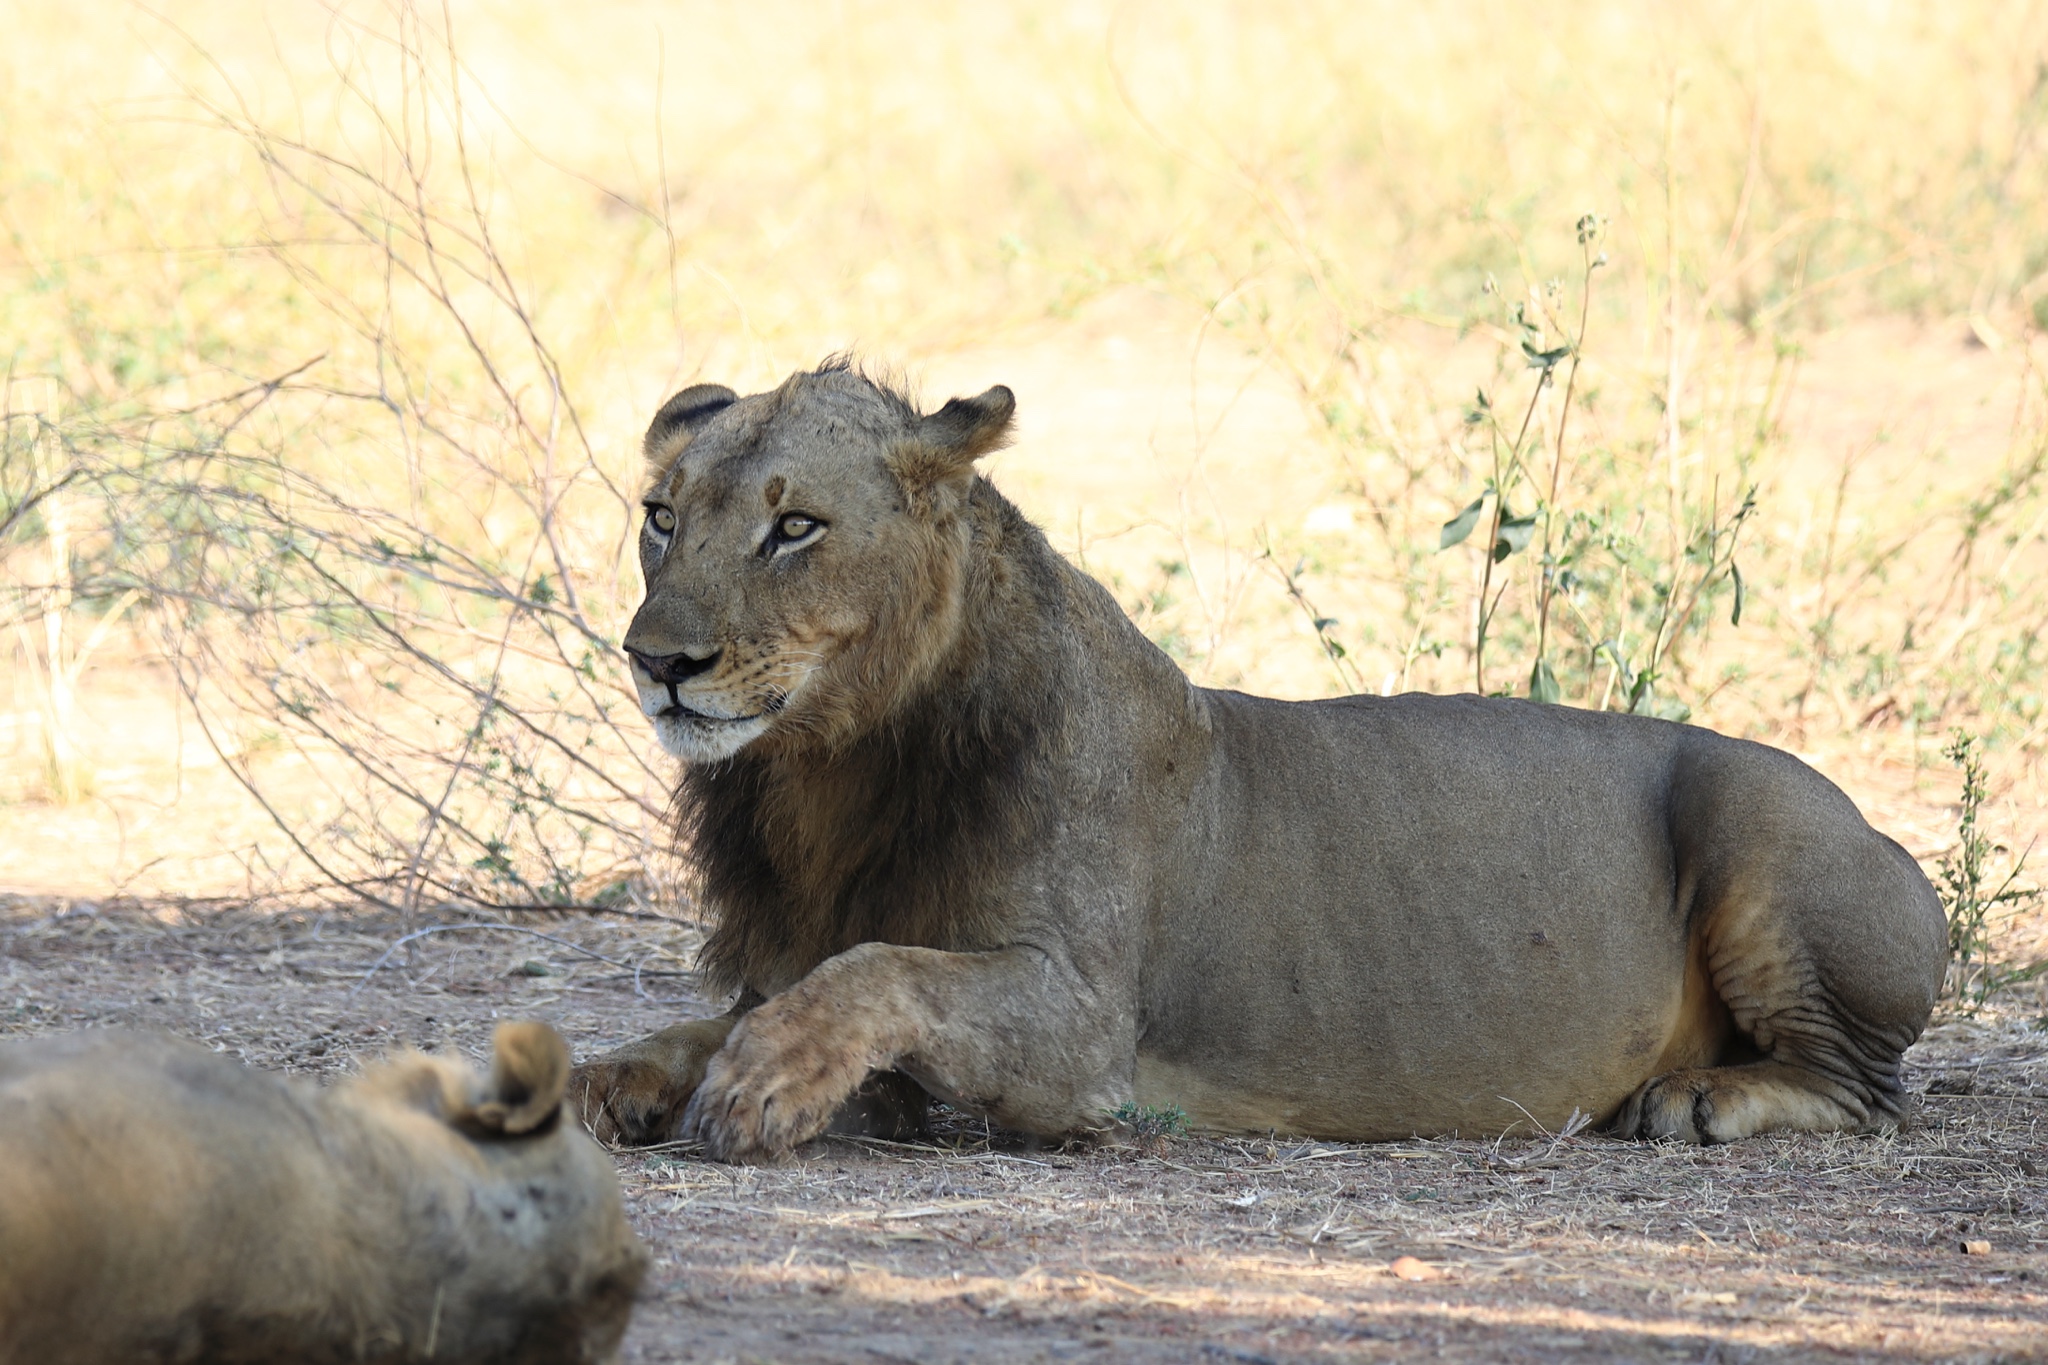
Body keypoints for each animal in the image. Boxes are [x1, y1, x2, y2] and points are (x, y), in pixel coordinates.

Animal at [569, 362, 1941, 1162]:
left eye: (795, 528)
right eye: (661, 519)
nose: (656, 661)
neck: (828, 768)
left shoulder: (1082, 1033)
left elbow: (874, 972)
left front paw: (761, 1087)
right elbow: (730, 1010)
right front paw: (610, 1081)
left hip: (1761, 820)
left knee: (1870, 1089)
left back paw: (1694, 1100)